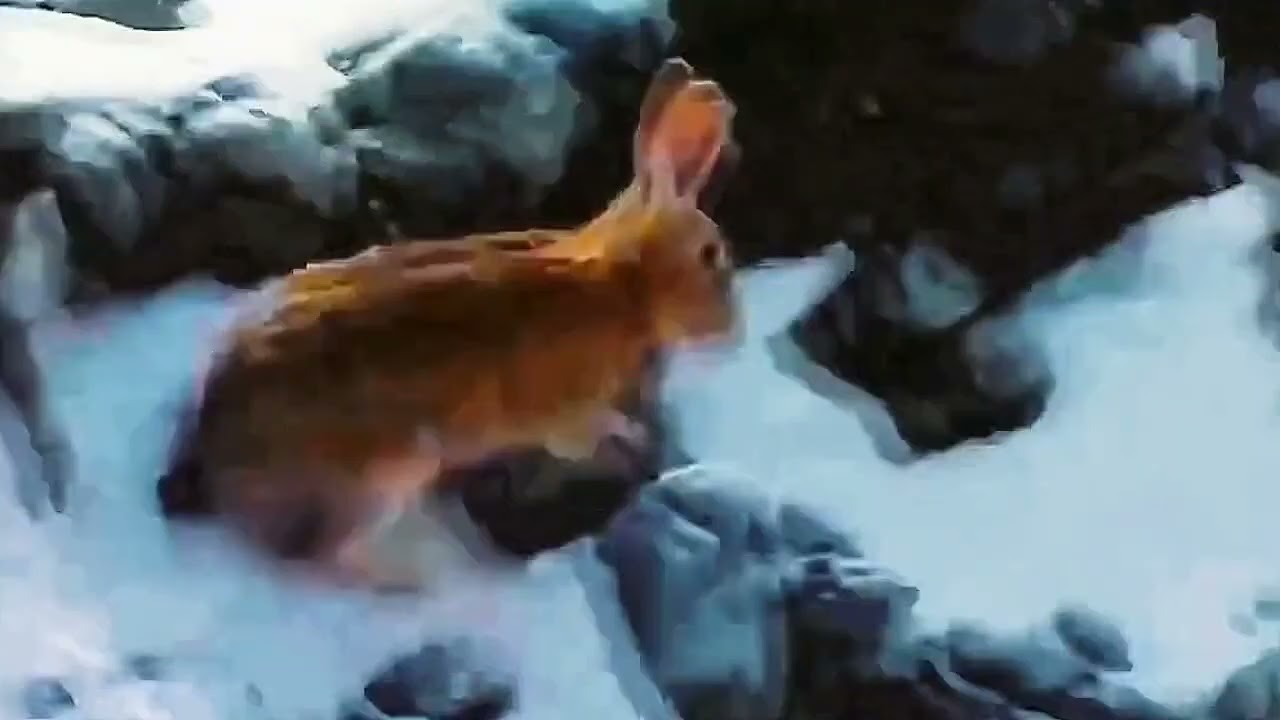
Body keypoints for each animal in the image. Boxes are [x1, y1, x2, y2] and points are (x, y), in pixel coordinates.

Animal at [170, 57, 742, 593]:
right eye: (710, 256)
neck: (625, 282)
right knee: (327, 555)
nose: (734, 331)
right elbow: (589, 431)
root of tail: (213, 459)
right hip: (390, 467)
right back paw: (417, 582)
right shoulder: (565, 412)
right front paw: (630, 437)